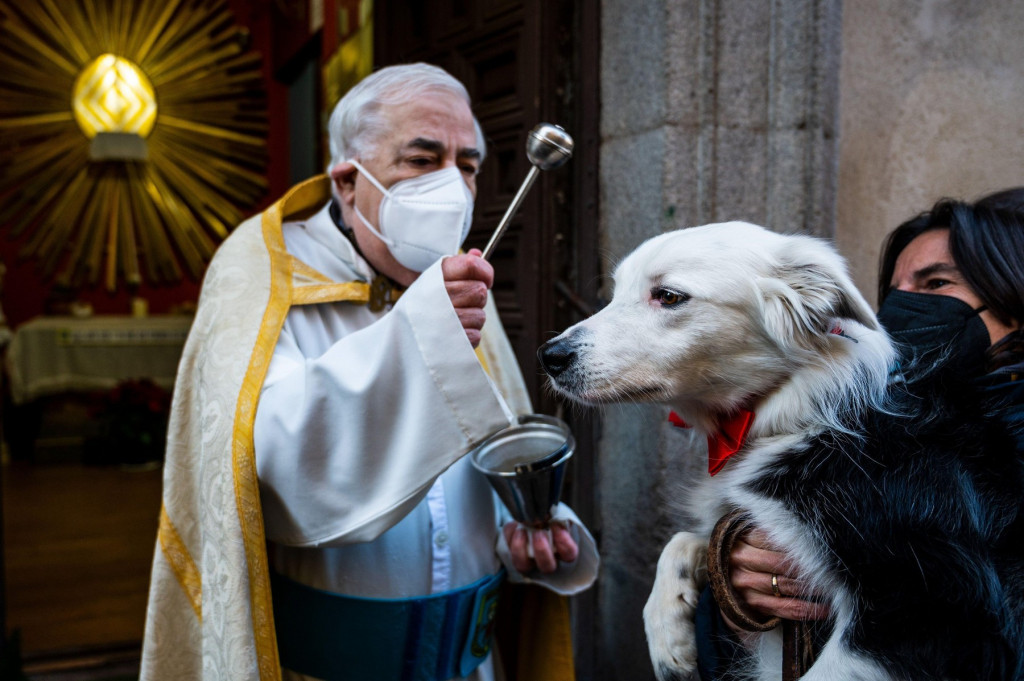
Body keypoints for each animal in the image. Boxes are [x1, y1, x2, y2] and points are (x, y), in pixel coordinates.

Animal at [536, 223, 1024, 679]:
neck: (791, 411)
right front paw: (667, 629)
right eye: (616, 291)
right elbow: (685, 540)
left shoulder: (936, 608)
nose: (550, 356)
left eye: (669, 296)